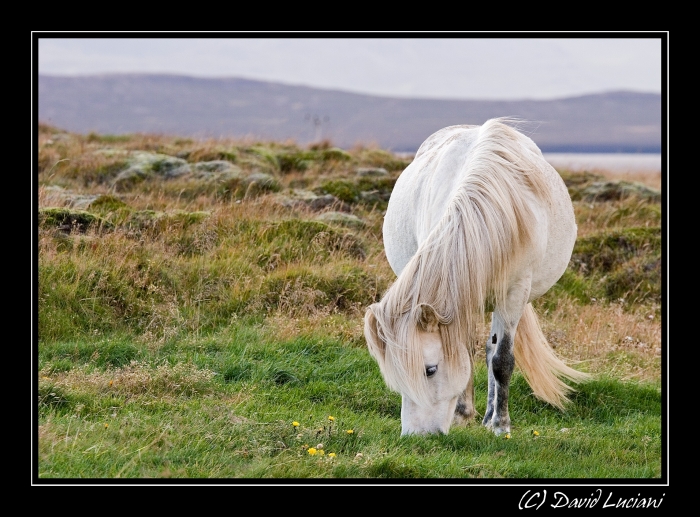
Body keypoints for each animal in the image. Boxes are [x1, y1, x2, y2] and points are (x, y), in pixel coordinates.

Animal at [366, 118, 592, 436]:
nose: (417, 436)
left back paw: (488, 417)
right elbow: (465, 350)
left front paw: (500, 425)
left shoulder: (513, 294)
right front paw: (463, 413)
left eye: (430, 370)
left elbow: (502, 360)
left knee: (491, 350)